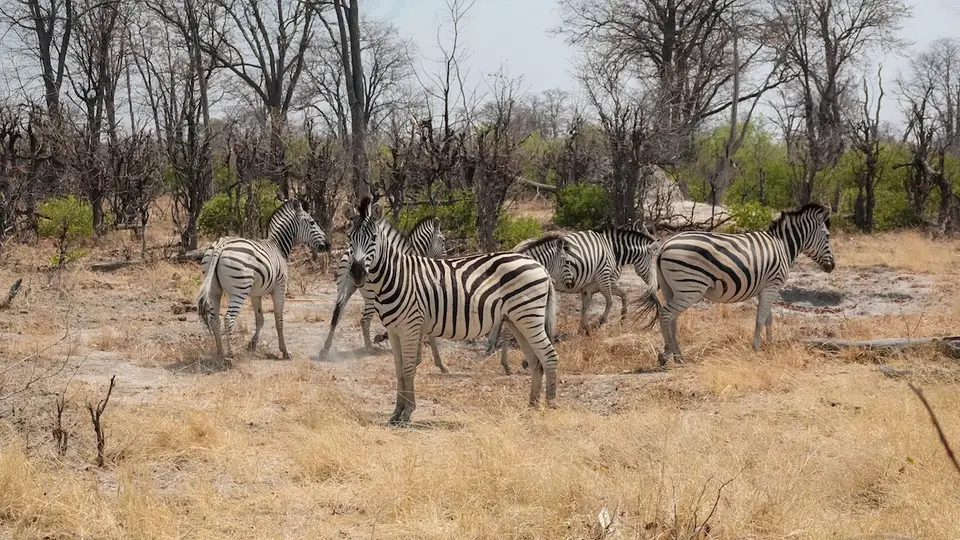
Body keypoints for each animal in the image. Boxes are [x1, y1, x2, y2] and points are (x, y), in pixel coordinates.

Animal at [196, 199, 330, 363]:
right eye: (312, 222)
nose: (328, 244)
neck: (278, 247)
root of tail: (220, 245)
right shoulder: (280, 287)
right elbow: (279, 319)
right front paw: (285, 351)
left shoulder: (256, 294)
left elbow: (260, 319)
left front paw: (252, 345)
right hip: (239, 290)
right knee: (228, 318)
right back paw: (231, 356)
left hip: (214, 290)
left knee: (214, 319)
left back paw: (221, 354)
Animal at [320, 216, 449, 372]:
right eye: (443, 240)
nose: (446, 258)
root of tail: (352, 258)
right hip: (370, 296)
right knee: (364, 320)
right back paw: (369, 348)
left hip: (344, 287)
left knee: (337, 314)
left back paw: (326, 348)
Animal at [346, 196, 559, 424]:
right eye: (350, 238)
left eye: (373, 238)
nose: (357, 273)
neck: (397, 276)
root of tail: (539, 265)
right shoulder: (395, 330)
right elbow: (398, 370)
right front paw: (396, 412)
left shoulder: (410, 327)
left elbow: (408, 368)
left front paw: (407, 412)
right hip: (517, 320)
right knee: (536, 360)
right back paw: (532, 406)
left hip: (529, 316)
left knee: (548, 356)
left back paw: (550, 406)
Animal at [637, 203, 835, 365]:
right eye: (827, 236)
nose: (832, 266)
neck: (783, 246)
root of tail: (665, 244)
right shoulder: (772, 285)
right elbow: (761, 318)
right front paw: (757, 348)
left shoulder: (767, 287)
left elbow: (768, 319)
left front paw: (770, 346)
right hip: (691, 287)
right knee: (666, 314)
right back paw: (671, 355)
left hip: (672, 288)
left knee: (672, 318)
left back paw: (674, 354)